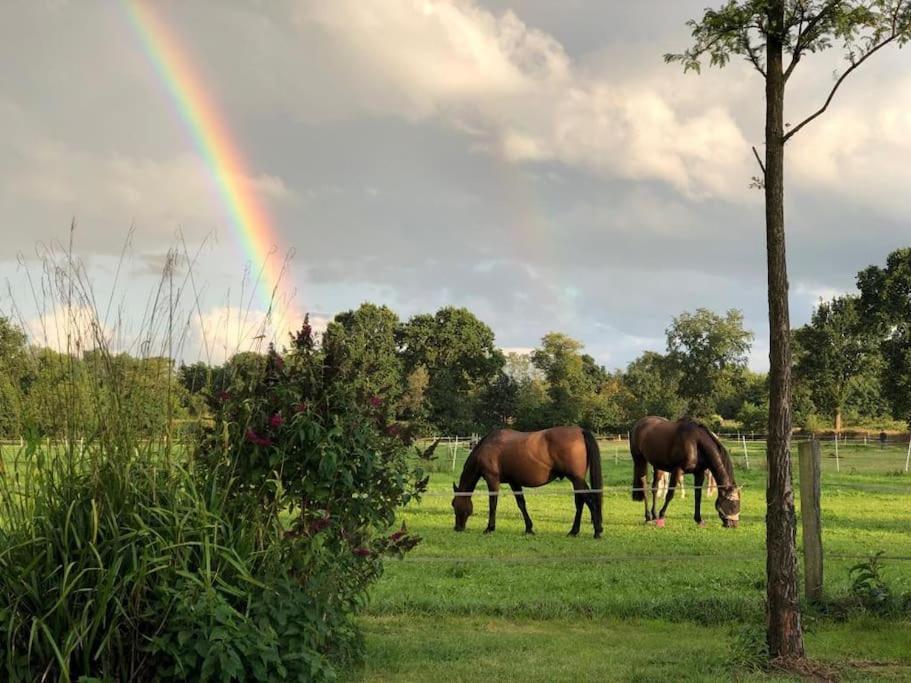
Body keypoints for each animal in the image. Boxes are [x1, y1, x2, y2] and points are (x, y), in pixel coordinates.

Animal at [450, 428, 604, 540]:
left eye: (454, 504)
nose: (457, 528)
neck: (487, 446)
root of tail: (579, 431)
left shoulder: (492, 479)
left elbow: (493, 504)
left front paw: (489, 528)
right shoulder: (514, 482)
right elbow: (521, 504)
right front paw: (529, 528)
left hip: (576, 479)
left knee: (590, 500)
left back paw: (596, 531)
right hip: (576, 480)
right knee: (581, 502)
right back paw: (574, 531)